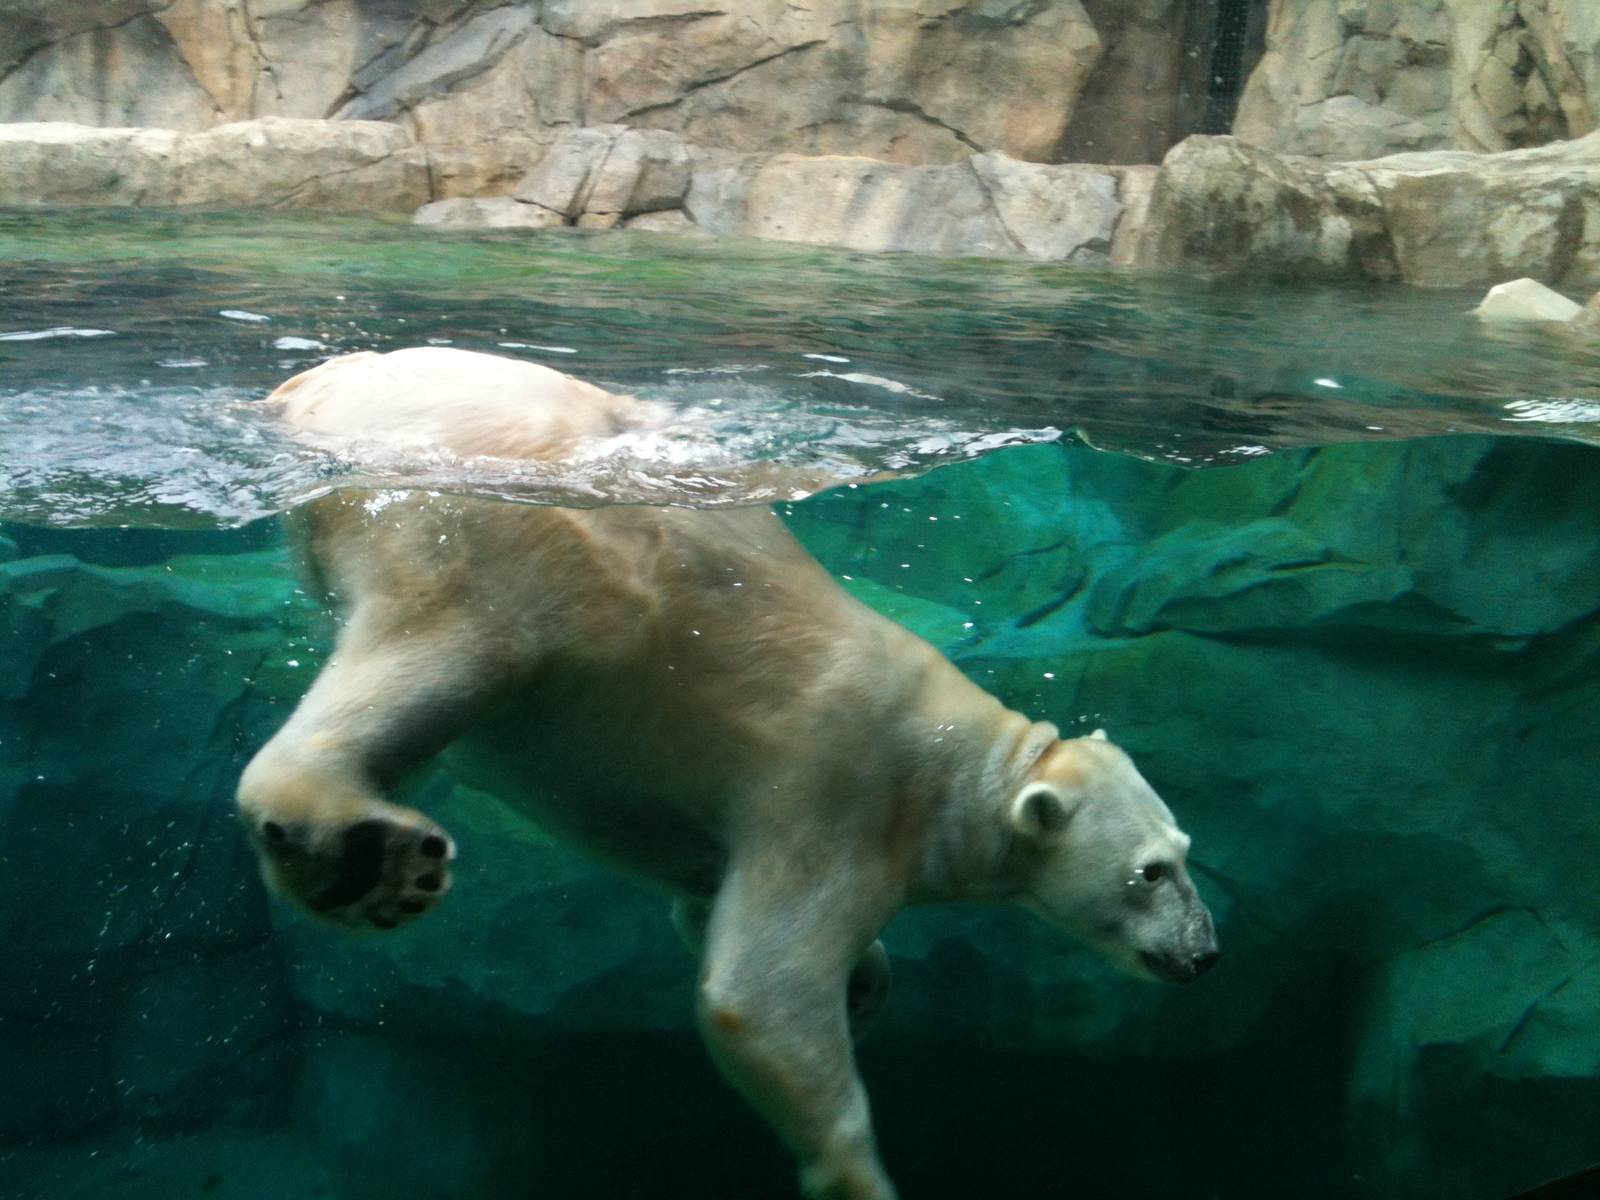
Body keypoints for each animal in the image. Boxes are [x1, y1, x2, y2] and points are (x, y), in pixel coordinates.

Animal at [237, 347, 1219, 1200]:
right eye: (1151, 872)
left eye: (1185, 848)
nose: (1206, 953)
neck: (953, 768)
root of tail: (319, 384)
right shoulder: (839, 790)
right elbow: (759, 992)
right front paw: (859, 1172)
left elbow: (705, 910)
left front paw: (864, 985)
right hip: (492, 529)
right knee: (446, 648)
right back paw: (369, 859)